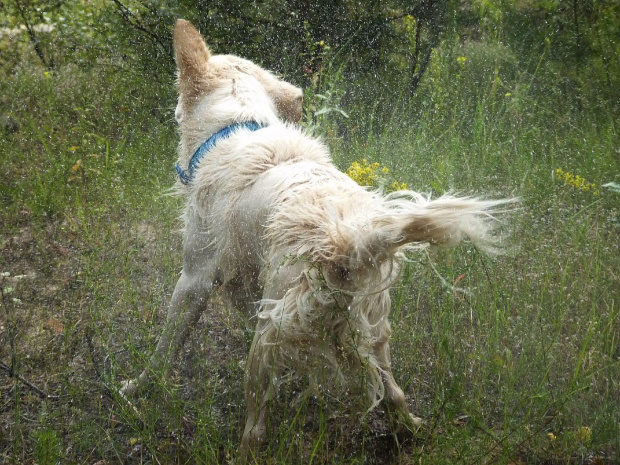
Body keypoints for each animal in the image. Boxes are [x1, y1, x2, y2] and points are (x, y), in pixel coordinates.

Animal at [121, 19, 512, 454]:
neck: (236, 127)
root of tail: (346, 243)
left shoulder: (195, 279)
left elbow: (164, 348)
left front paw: (137, 387)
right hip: (369, 330)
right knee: (393, 393)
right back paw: (409, 428)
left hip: (269, 333)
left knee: (256, 426)